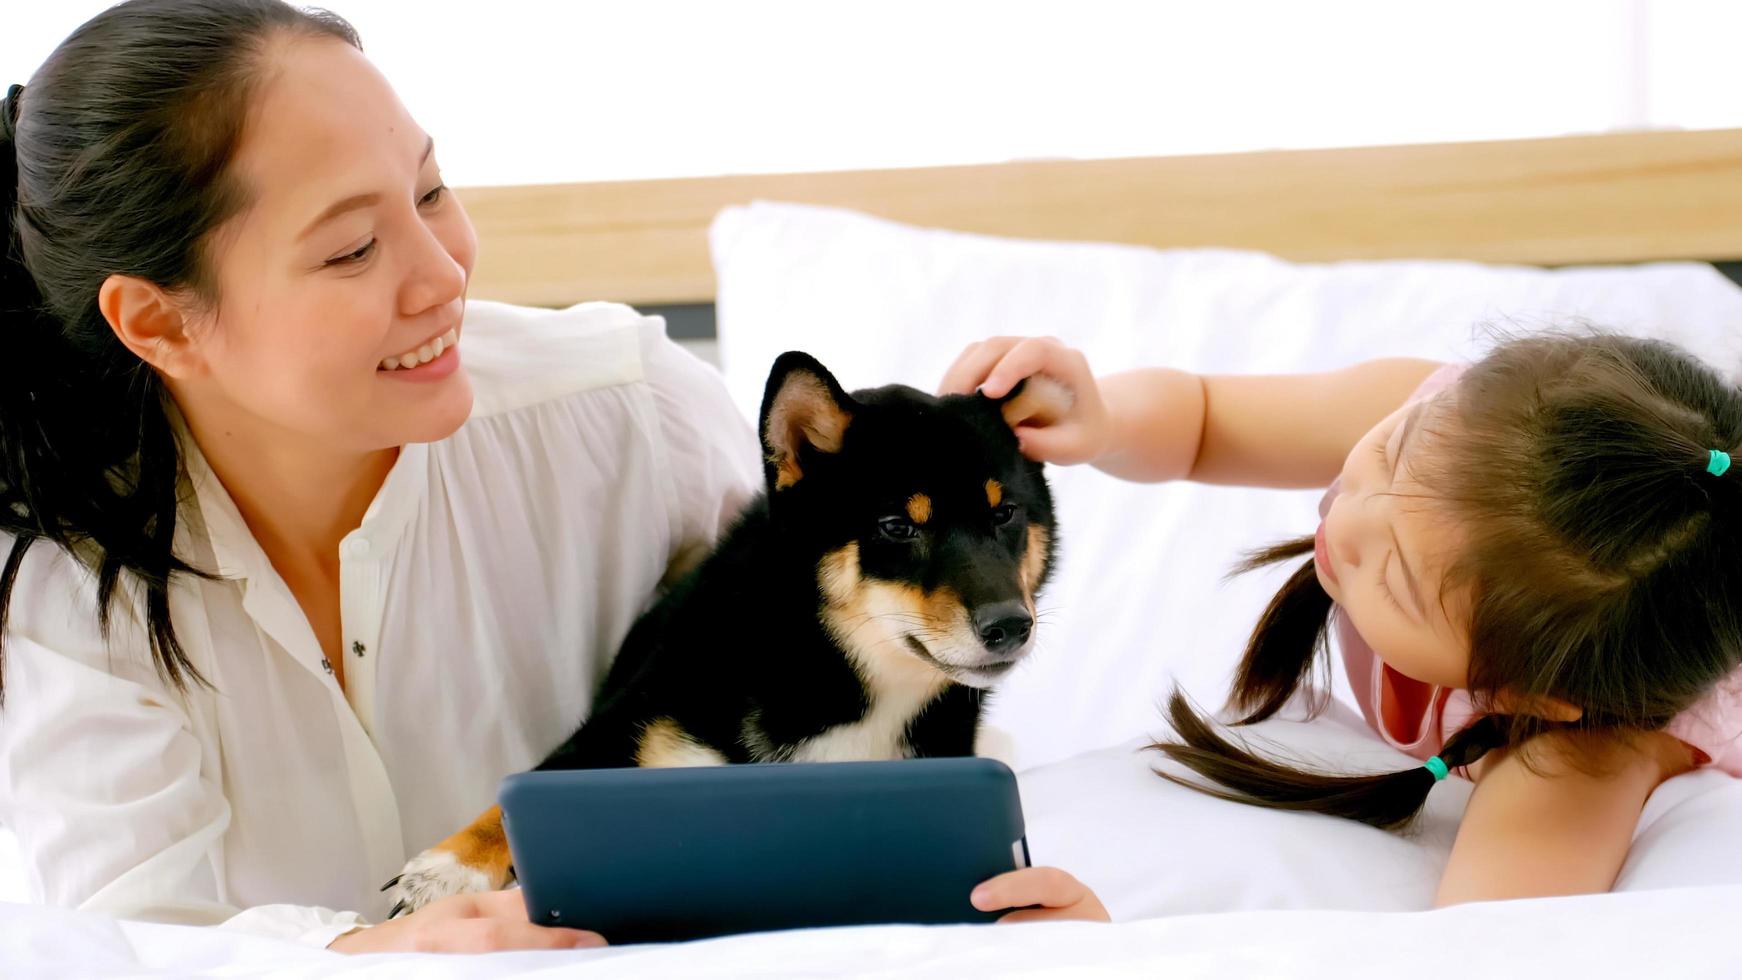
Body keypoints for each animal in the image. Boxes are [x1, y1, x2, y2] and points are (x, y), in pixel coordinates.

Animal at [388, 355, 1059, 919]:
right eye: (897, 526)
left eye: (1004, 514)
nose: (1010, 625)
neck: (834, 680)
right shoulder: (620, 723)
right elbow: (513, 799)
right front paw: (442, 871)